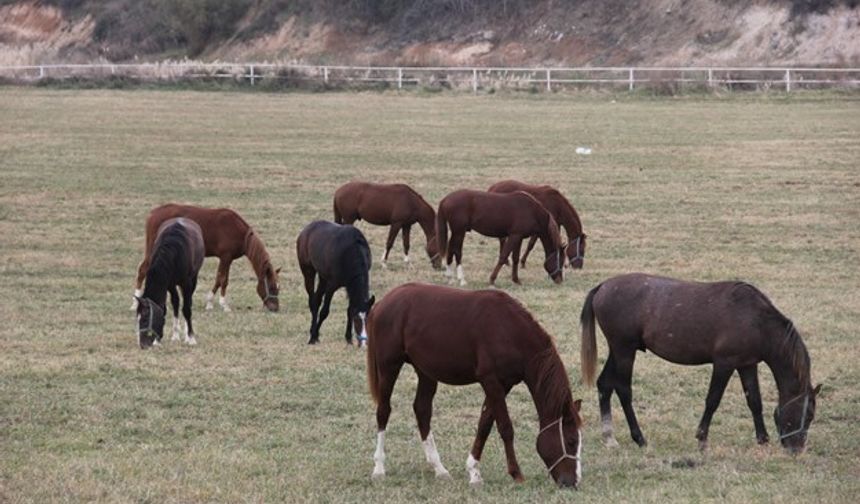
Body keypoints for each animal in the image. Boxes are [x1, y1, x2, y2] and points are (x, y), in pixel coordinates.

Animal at [130, 203, 282, 314]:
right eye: (272, 287)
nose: (275, 308)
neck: (240, 233)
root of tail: (153, 214)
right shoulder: (226, 257)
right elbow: (223, 280)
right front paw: (223, 305)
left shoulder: (226, 259)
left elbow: (219, 280)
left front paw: (210, 303)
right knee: (143, 270)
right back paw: (135, 303)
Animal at [137, 217, 206, 350]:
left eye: (145, 319)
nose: (143, 345)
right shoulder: (168, 284)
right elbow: (167, 307)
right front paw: (158, 340)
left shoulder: (186, 283)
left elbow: (186, 309)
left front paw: (191, 338)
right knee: (176, 302)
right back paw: (175, 335)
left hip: (193, 279)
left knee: (188, 303)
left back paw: (186, 334)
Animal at [366, 282, 588, 486]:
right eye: (571, 441)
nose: (573, 482)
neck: (508, 330)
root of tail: (382, 303)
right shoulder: (490, 381)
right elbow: (505, 427)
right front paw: (516, 473)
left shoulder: (503, 385)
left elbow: (485, 425)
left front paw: (473, 471)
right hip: (389, 366)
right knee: (383, 411)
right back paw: (378, 468)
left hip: (426, 372)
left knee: (422, 410)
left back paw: (439, 468)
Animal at [436, 189, 564, 286]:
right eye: (560, 261)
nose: (560, 280)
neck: (532, 211)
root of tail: (445, 199)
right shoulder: (514, 236)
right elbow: (503, 256)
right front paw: (492, 279)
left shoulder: (518, 237)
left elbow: (515, 258)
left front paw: (516, 280)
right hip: (459, 232)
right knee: (457, 251)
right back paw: (461, 279)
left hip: (456, 232)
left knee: (450, 251)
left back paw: (450, 278)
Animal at [580, 274, 824, 454]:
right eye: (809, 414)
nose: (796, 449)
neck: (756, 320)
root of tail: (602, 287)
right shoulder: (724, 364)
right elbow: (712, 400)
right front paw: (702, 439)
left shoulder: (747, 365)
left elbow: (754, 401)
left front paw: (762, 439)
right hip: (624, 350)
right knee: (623, 390)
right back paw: (639, 438)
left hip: (619, 350)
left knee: (604, 385)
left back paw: (609, 437)